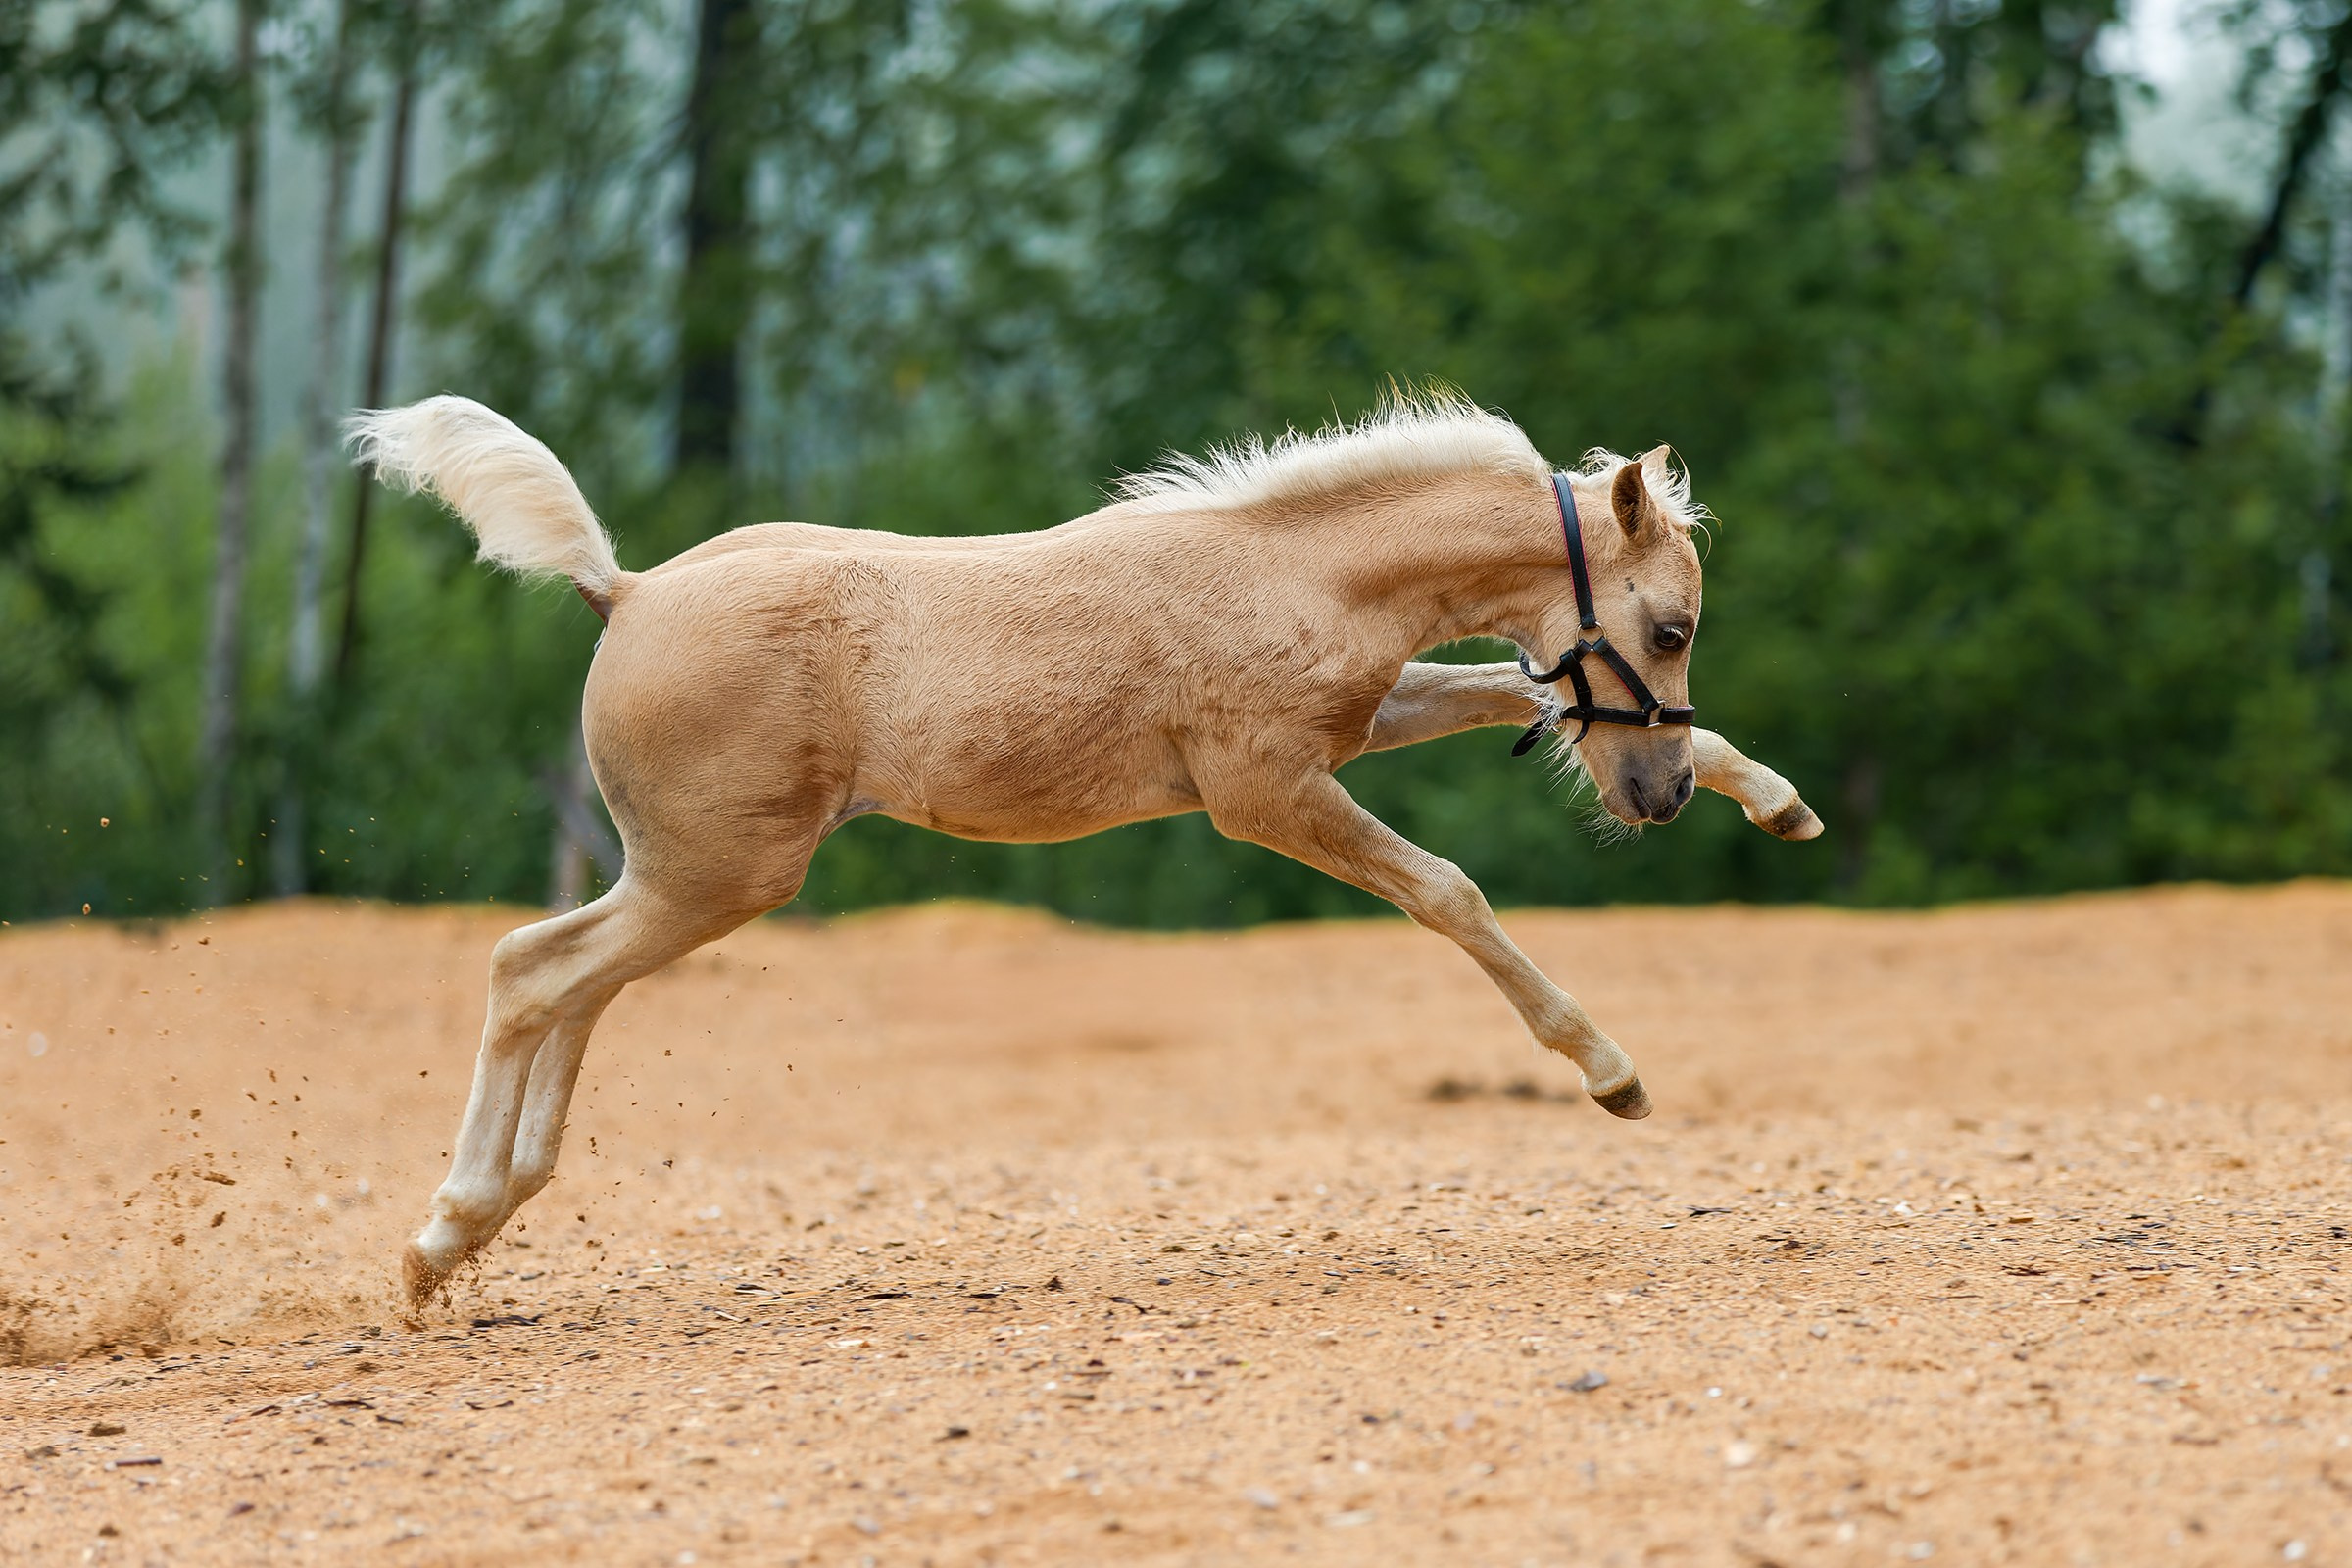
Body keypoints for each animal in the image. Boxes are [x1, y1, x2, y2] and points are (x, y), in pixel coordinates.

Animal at [348, 389, 1820, 1307]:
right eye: (1672, 625)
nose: (1654, 796)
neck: (1291, 573)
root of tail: (630, 590)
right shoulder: (1264, 790)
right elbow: (1449, 893)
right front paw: (1613, 1073)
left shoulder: (1355, 726)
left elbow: (1490, 700)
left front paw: (1780, 801)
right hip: (718, 875)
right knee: (531, 967)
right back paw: (443, 1234)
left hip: (685, 877)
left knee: (571, 985)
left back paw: (480, 1224)